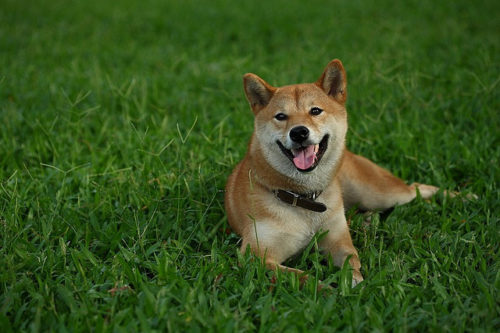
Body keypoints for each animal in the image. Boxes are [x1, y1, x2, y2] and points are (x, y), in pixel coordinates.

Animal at [225, 58, 444, 284]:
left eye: (315, 111)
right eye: (281, 116)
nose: (299, 132)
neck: (305, 199)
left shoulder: (338, 239)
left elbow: (351, 260)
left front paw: (355, 284)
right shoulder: (256, 256)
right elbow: (303, 278)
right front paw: (330, 288)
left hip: (379, 194)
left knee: (417, 188)